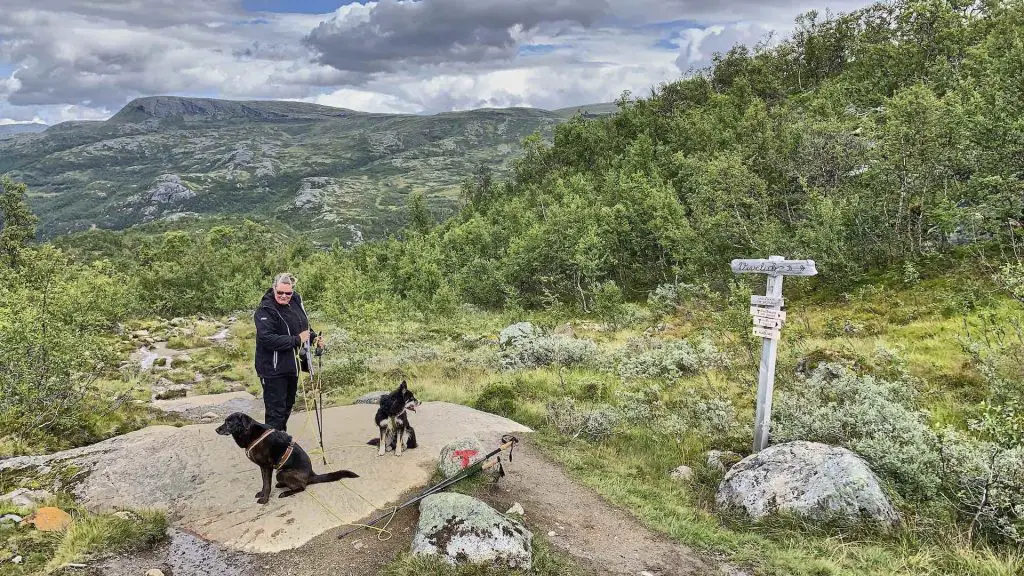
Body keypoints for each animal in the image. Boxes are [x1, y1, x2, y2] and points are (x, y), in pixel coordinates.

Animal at [216, 407, 360, 502]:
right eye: (225, 421)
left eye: (229, 422)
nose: (216, 429)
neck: (250, 433)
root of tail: (311, 474)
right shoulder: (262, 467)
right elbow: (264, 483)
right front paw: (262, 493)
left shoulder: (266, 467)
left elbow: (267, 484)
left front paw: (265, 499)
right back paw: (282, 485)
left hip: (281, 473)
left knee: (302, 487)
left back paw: (285, 493)